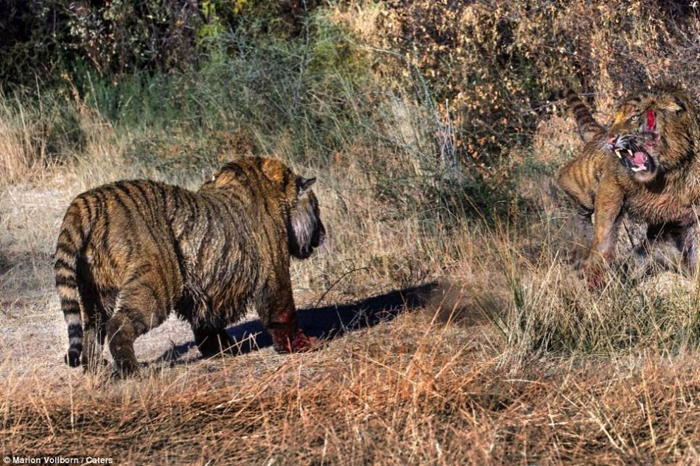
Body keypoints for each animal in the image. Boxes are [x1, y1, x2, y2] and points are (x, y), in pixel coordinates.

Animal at [54, 156, 326, 374]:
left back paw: (95, 369)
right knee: (118, 325)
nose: (323, 235)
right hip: (157, 284)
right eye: (317, 209)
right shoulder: (273, 271)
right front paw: (304, 345)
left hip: (94, 291)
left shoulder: (207, 288)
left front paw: (221, 349)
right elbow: (284, 312)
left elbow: (207, 323)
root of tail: (89, 199)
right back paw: (131, 371)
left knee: (92, 328)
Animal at [556, 85, 700, 282]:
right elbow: (604, 232)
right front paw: (595, 274)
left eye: (634, 117)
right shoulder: (611, 185)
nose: (610, 140)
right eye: (614, 120)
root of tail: (599, 134)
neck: (667, 174)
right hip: (582, 181)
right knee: (566, 183)